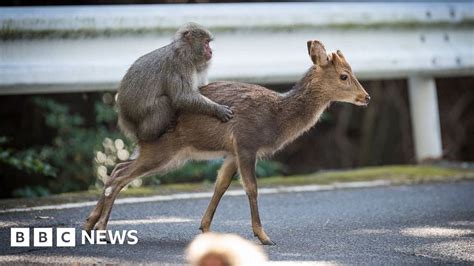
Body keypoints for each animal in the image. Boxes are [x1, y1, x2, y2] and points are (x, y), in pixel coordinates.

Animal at [82, 39, 370, 245]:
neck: (276, 118)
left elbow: (220, 185)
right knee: (120, 175)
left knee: (117, 169)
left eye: (352, 72)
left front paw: (205, 228)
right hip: (164, 150)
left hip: (163, 153)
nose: (366, 97)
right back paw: (103, 229)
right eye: (344, 76)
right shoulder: (246, 142)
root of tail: (136, 126)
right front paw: (263, 236)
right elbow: (251, 187)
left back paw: (89, 224)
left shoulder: (231, 151)